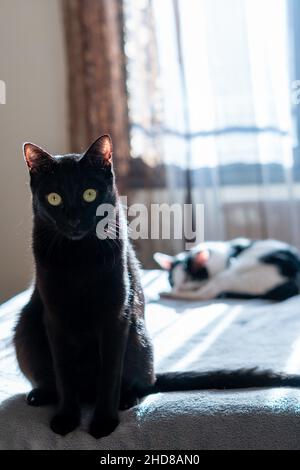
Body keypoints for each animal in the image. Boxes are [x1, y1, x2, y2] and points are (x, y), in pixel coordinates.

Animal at [154, 239, 300, 302]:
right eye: (172, 281)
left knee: (205, 294)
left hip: (235, 272)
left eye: (186, 280)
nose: (176, 289)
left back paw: (166, 294)